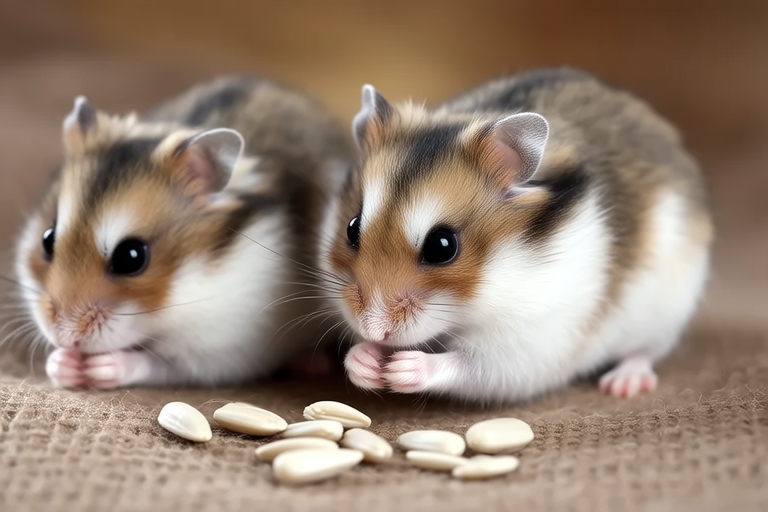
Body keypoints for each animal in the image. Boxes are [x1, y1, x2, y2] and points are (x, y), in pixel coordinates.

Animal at [15, 76, 352, 389]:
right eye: (47, 240)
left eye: (131, 257)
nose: (64, 336)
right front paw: (62, 363)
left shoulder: (221, 350)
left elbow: (157, 362)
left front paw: (101, 367)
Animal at [320, 68, 713, 403]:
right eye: (352, 229)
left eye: (442, 247)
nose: (374, 329)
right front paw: (365, 361)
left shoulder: (527, 344)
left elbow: (469, 365)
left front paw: (401, 369)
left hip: (666, 311)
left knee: (647, 351)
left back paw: (623, 384)